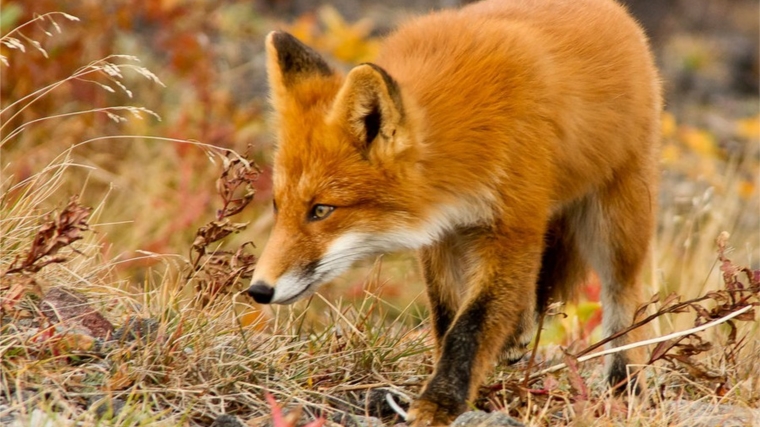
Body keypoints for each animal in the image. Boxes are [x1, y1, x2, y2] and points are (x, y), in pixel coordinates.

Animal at [248, 0, 660, 424]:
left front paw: (441, 402)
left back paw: (625, 385)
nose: (258, 290)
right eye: (278, 205)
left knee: (624, 297)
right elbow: (448, 320)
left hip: (616, 223)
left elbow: (472, 325)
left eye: (321, 209)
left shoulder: (512, 227)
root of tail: (614, 12)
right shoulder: (444, 235)